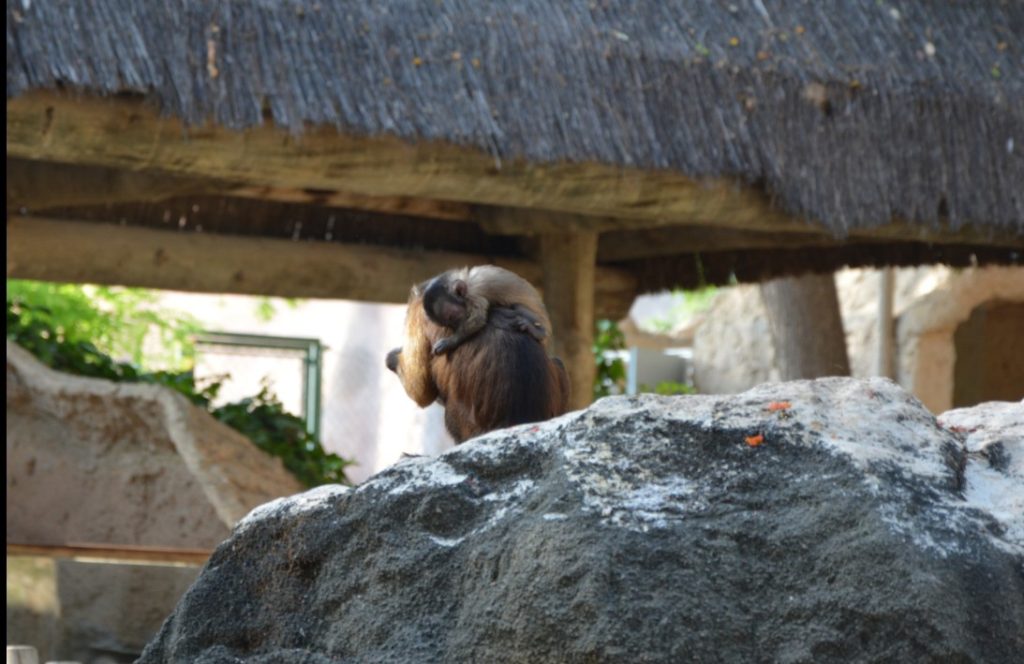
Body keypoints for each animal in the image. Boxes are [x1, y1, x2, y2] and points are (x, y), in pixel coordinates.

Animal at [420, 265, 550, 355]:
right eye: (448, 324)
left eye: (452, 317)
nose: (456, 326)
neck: (466, 281)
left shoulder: (474, 296)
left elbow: (478, 319)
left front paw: (450, 342)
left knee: (518, 307)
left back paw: (537, 331)